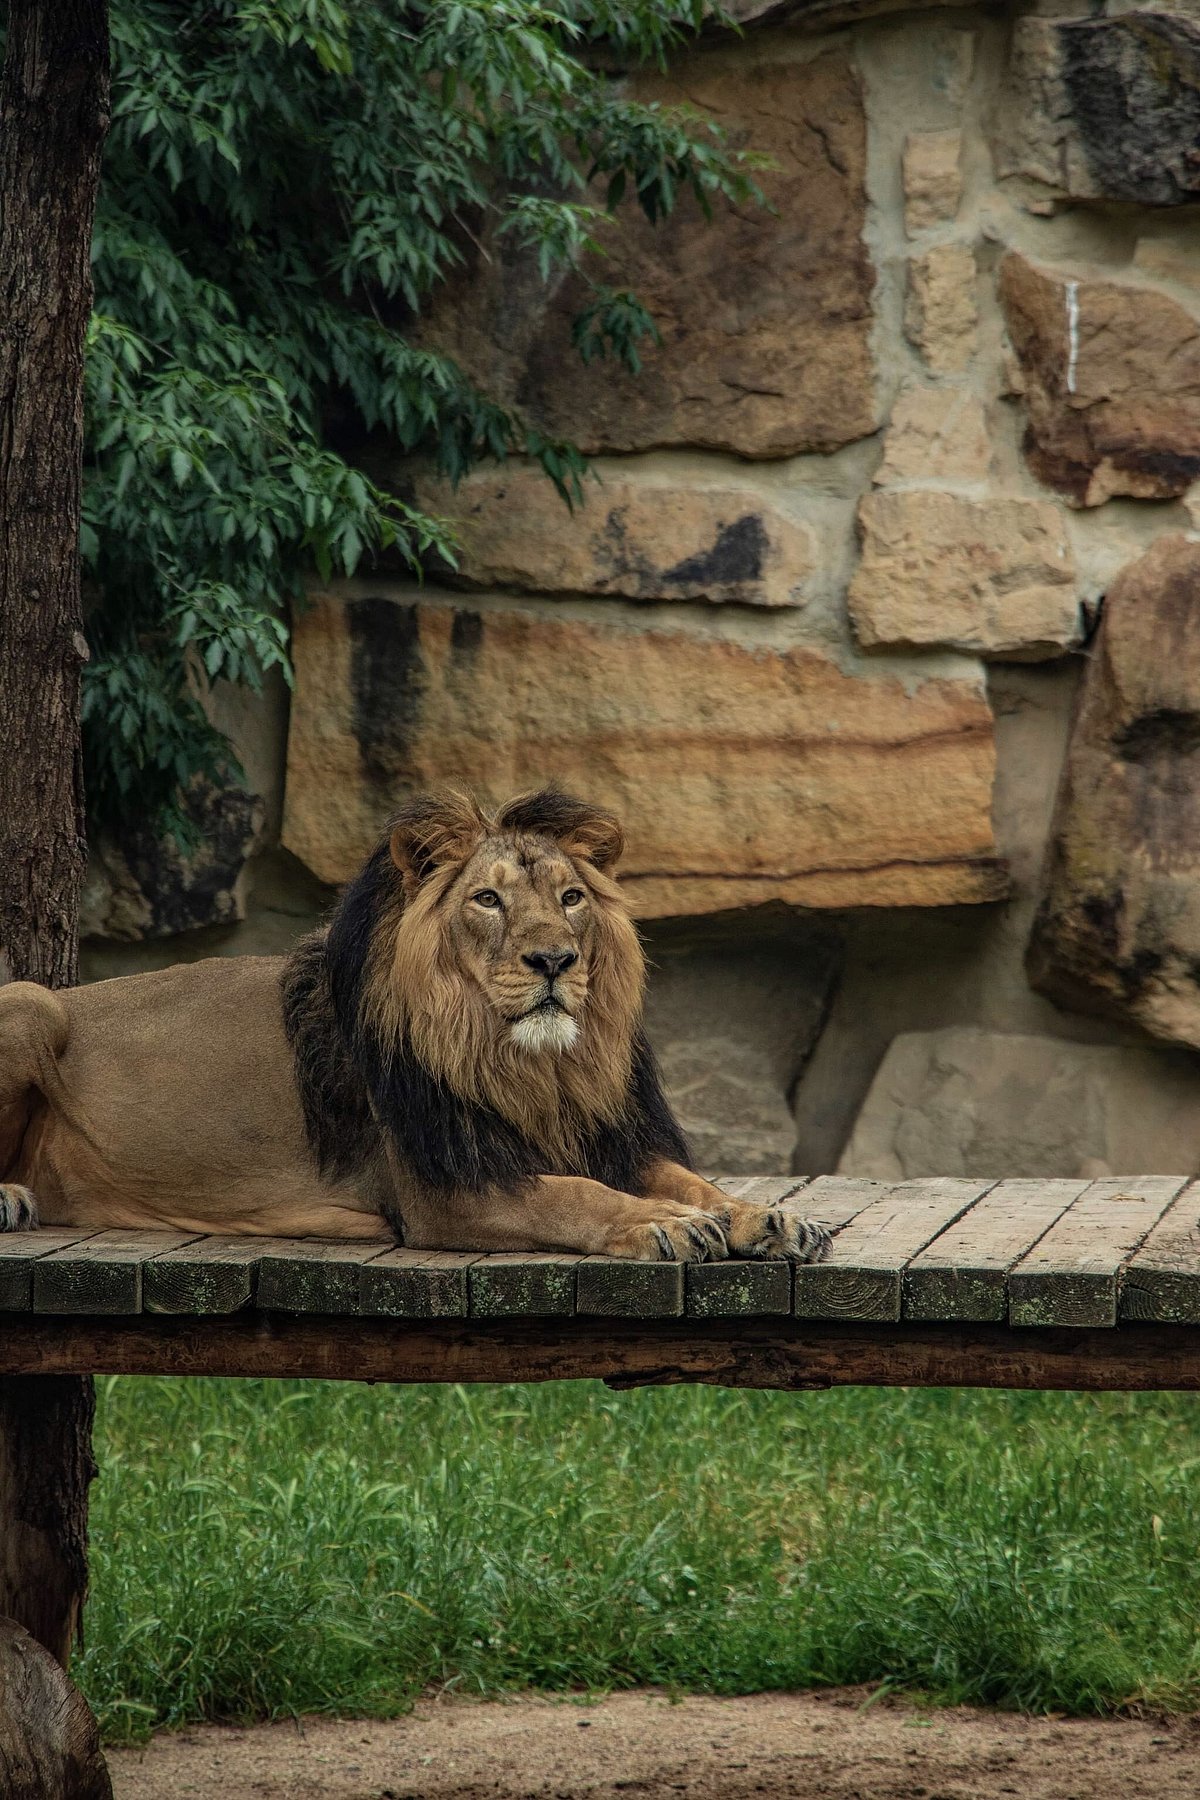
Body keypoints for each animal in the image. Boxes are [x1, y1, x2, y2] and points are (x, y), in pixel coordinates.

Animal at [0, 788, 830, 1264]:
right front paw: (665, 1225)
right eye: (488, 900)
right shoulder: (444, 1188)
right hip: (33, 1002)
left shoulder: (604, 1136)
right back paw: (7, 1198)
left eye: (570, 898)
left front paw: (766, 1217)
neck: (535, 1068)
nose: (554, 961)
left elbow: (693, 1180)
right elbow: (574, 1196)